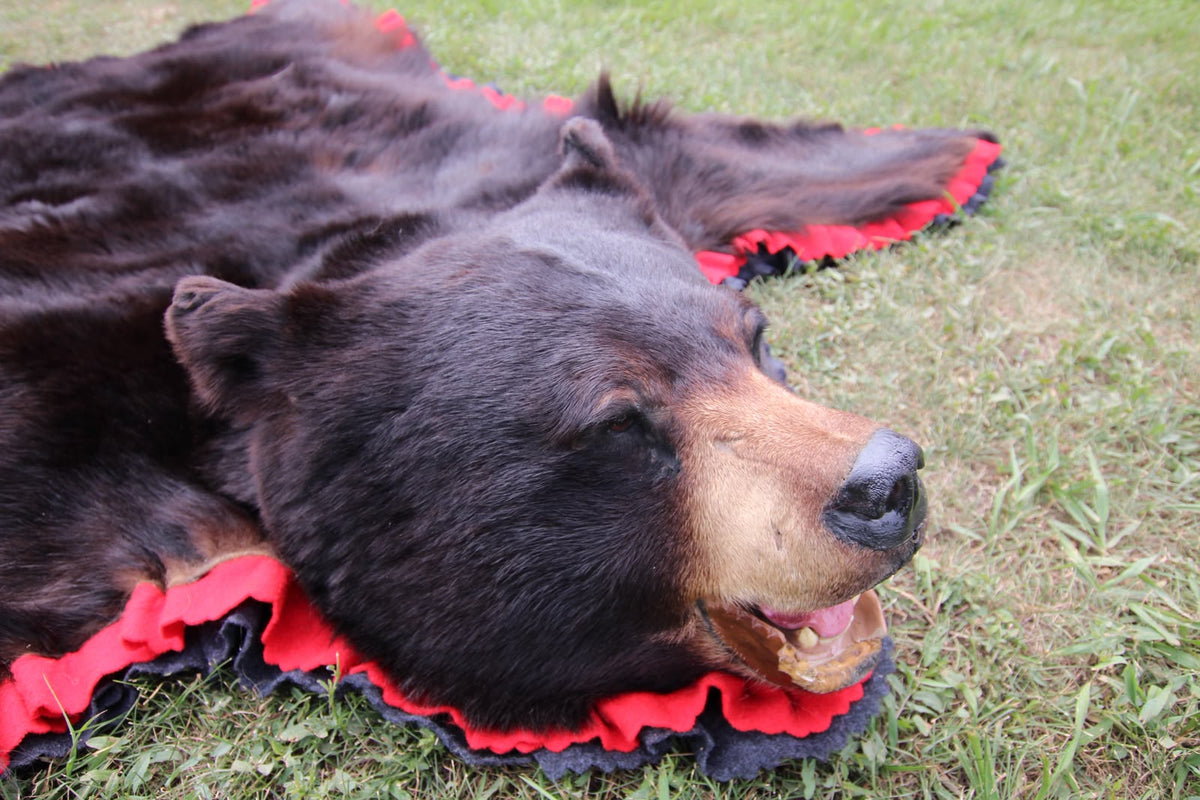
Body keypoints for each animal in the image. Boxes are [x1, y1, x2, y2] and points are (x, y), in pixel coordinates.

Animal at [0, 0, 969, 731]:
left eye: (755, 338)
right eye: (619, 422)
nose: (885, 484)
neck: (352, 250)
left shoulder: (490, 170)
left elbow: (682, 148)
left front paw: (948, 142)